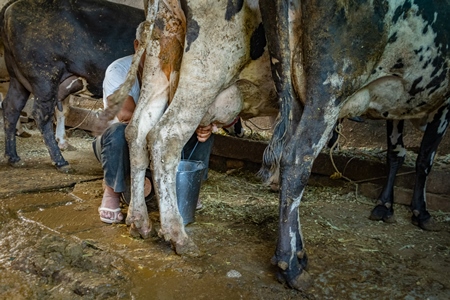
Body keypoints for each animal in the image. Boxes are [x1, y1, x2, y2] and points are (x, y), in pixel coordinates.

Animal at [0, 0, 144, 172]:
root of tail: (13, 5)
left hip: (17, 77)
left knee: (11, 107)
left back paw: (13, 157)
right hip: (44, 76)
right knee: (41, 115)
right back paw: (60, 161)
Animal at [256, 0, 450, 290]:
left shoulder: (396, 106)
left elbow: (396, 152)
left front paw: (385, 206)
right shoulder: (445, 102)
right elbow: (425, 159)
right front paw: (421, 212)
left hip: (289, 81)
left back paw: (300, 254)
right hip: (332, 86)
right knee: (297, 158)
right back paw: (289, 265)